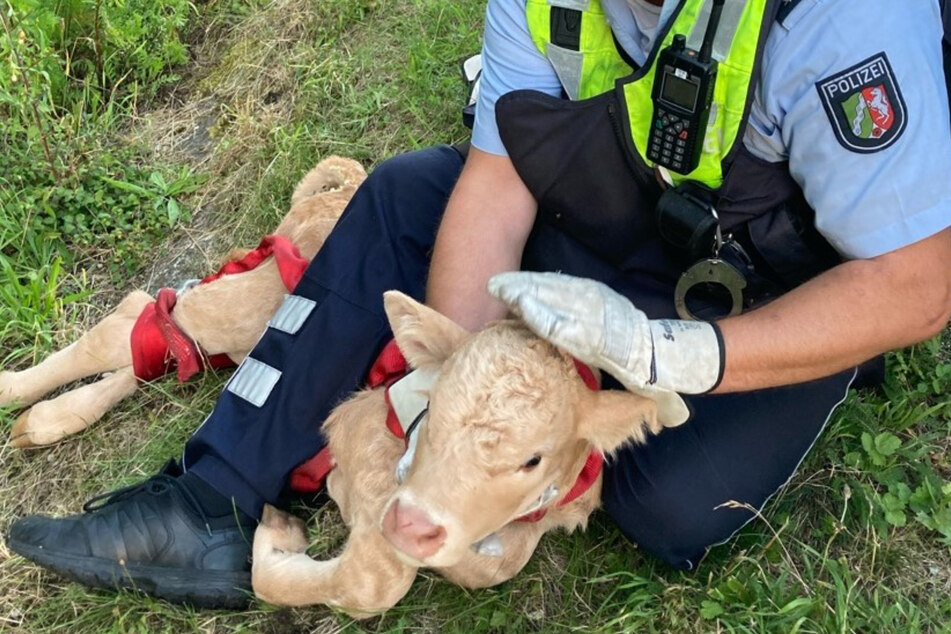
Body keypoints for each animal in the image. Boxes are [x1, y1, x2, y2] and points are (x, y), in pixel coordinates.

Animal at [245, 292, 676, 616]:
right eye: (431, 407)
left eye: (533, 460)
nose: (409, 526)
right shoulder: (368, 433)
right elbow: (370, 584)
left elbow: (497, 562)